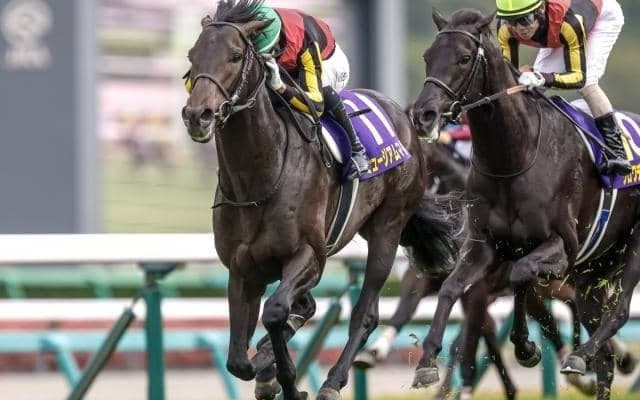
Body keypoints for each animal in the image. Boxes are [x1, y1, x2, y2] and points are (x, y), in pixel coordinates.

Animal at [180, 2, 457, 400]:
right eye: (193, 56)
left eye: (234, 56)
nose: (197, 115)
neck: (258, 177)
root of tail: (403, 118)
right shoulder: (242, 268)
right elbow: (237, 359)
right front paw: (267, 369)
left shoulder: (309, 255)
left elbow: (274, 312)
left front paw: (287, 380)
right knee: (306, 308)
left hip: (388, 228)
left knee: (365, 313)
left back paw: (332, 382)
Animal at [410, 8, 640, 400]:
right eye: (427, 56)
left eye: (464, 58)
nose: (424, 115)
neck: (513, 158)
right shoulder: (485, 246)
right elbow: (452, 288)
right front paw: (426, 362)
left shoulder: (562, 246)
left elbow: (521, 274)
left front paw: (525, 345)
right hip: (592, 271)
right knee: (604, 354)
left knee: (620, 313)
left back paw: (580, 354)